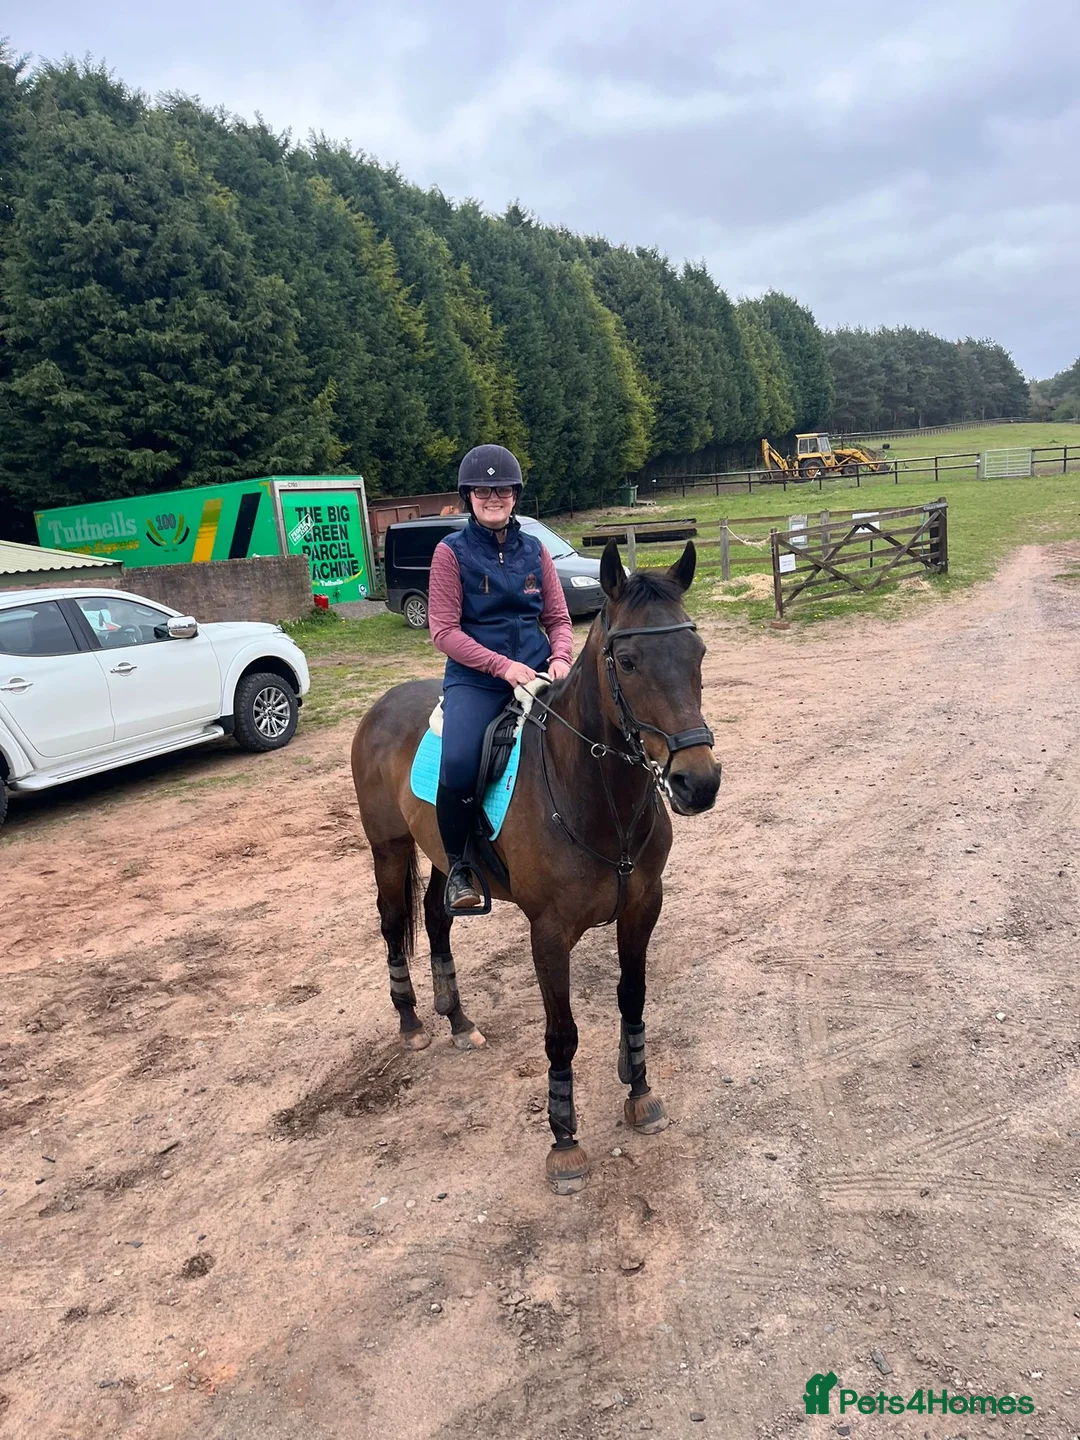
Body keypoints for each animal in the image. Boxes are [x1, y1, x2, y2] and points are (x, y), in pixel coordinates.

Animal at [350, 540, 720, 1192]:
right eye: (627, 662)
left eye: (696, 652)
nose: (697, 783)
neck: (594, 793)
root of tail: (382, 706)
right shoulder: (548, 933)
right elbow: (562, 1033)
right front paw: (565, 1142)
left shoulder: (643, 907)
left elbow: (633, 998)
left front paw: (640, 1092)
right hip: (389, 847)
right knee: (394, 924)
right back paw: (413, 1023)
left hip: (443, 854)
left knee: (437, 918)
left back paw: (457, 1020)